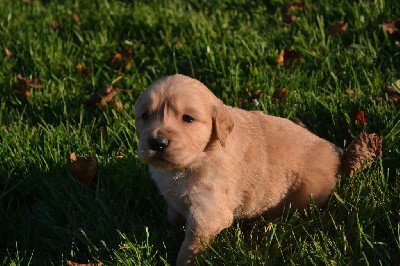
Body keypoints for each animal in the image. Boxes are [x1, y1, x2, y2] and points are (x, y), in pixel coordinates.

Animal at [133, 74, 342, 264]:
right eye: (145, 116)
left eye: (188, 118)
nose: (157, 143)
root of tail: (336, 152)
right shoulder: (173, 198)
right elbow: (172, 216)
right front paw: (162, 232)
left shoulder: (208, 212)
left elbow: (190, 247)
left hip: (307, 192)